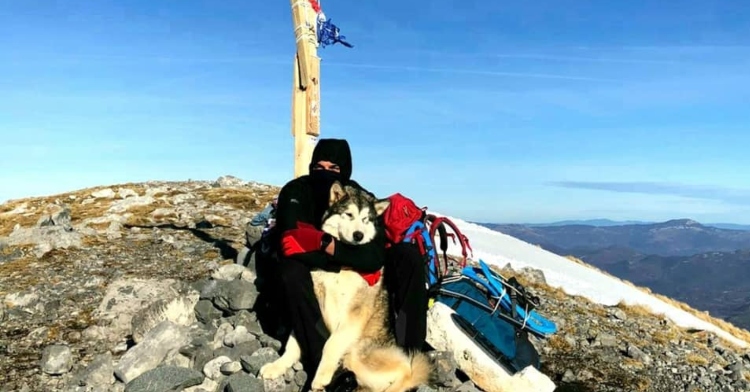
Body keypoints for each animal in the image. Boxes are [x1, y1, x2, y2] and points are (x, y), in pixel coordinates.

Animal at [260, 181, 432, 392]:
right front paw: (277, 366)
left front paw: (321, 377)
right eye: (349, 214)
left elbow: (331, 344)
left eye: (366, 219)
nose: (359, 235)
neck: (341, 265)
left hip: (359, 354)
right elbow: (293, 342)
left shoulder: (354, 314)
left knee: (407, 370)